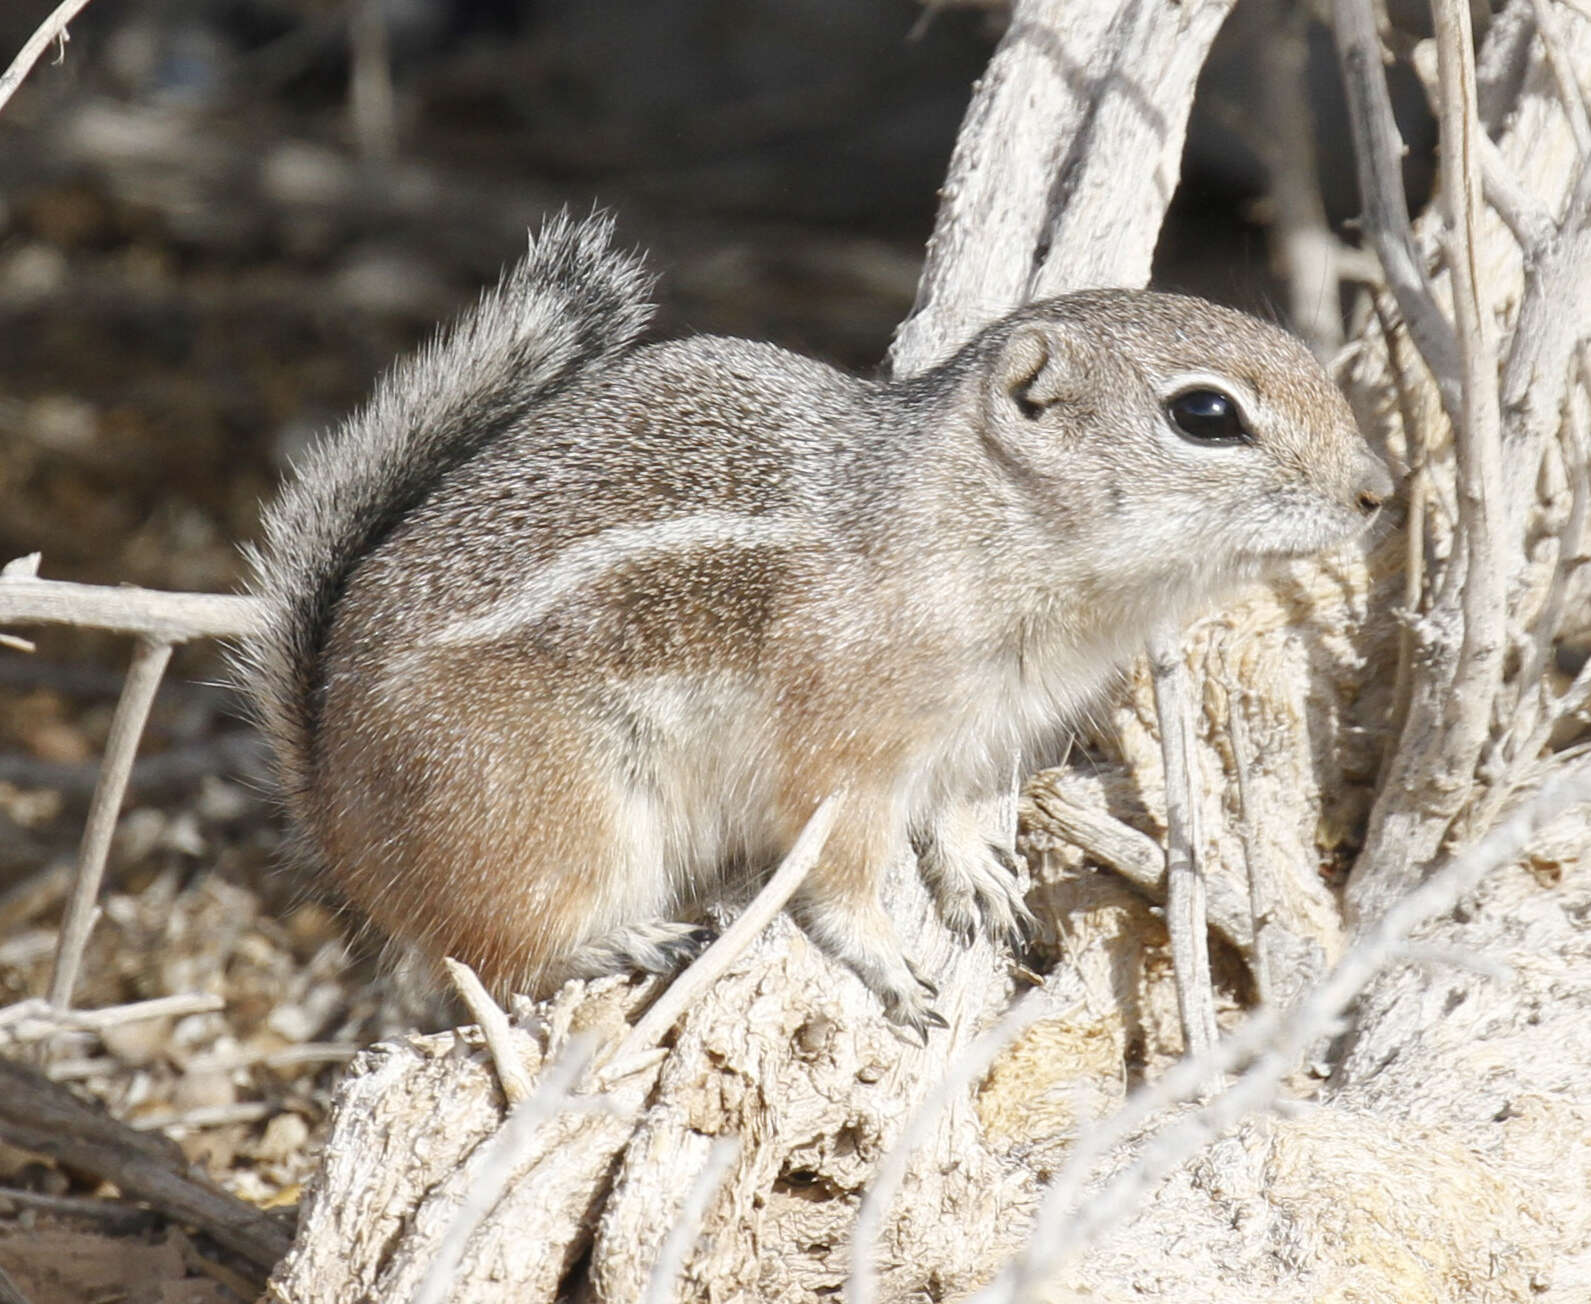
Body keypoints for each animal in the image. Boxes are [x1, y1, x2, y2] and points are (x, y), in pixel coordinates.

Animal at [238, 214, 1393, 1036]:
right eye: (1206, 415)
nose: (1377, 490)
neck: (980, 530)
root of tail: (332, 806)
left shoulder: (978, 740)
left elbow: (957, 814)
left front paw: (977, 876)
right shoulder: (841, 758)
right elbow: (839, 884)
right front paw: (888, 964)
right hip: (560, 820)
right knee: (490, 956)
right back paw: (621, 944)